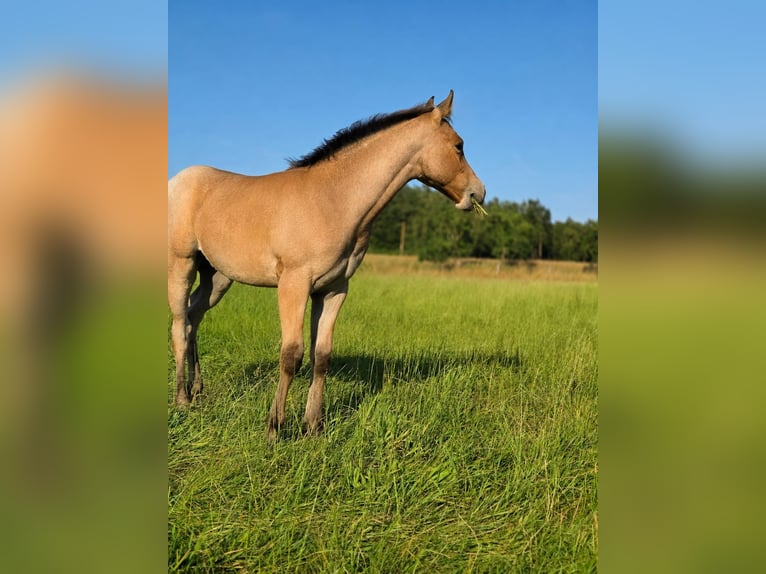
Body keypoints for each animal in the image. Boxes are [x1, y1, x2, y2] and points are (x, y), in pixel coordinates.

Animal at [168, 91, 485, 440]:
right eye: (459, 145)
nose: (477, 192)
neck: (333, 200)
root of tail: (177, 180)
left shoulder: (333, 289)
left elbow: (321, 356)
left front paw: (314, 425)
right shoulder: (294, 284)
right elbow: (291, 354)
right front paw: (274, 427)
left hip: (218, 277)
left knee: (194, 318)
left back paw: (198, 390)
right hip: (181, 265)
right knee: (179, 325)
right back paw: (182, 399)